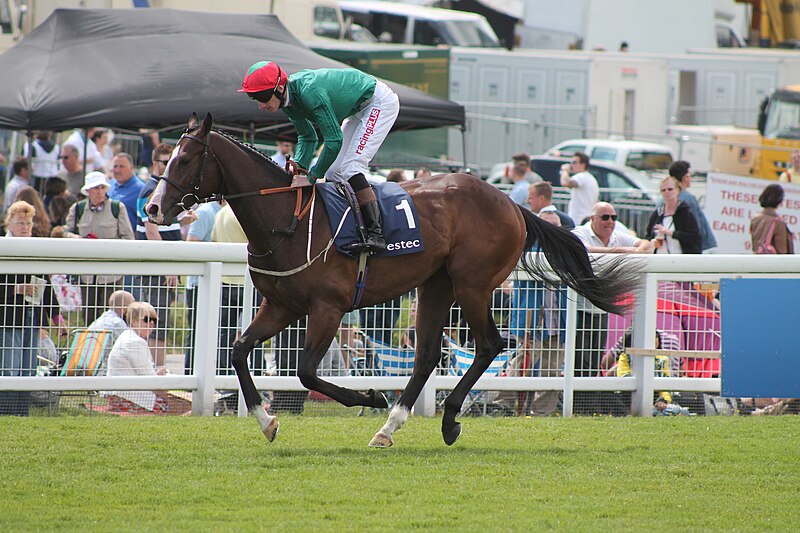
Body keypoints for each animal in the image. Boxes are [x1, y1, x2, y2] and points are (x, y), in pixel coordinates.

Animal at [147, 114, 640, 446]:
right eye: (168, 156)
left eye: (185, 158)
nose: (152, 208)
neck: (287, 219)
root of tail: (510, 203)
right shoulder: (281, 304)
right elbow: (238, 349)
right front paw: (267, 422)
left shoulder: (327, 307)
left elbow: (305, 371)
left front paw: (368, 397)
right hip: (436, 285)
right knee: (426, 357)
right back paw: (391, 426)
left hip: (473, 284)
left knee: (489, 345)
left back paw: (446, 419)